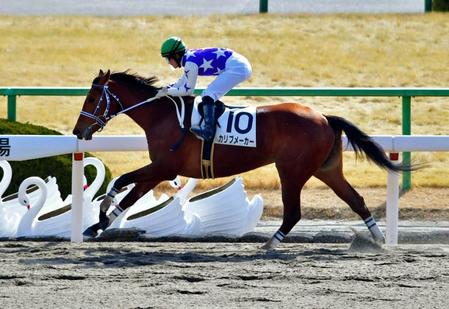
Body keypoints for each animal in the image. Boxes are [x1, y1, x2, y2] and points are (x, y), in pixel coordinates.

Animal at [72, 70, 410, 248]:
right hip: (326, 170)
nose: (78, 130)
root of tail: (325, 117)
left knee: (294, 212)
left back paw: (271, 242)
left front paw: (101, 212)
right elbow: (130, 195)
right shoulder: (159, 169)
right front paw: (97, 225)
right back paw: (379, 240)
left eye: (92, 98)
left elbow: (122, 181)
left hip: (292, 170)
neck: (162, 116)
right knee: (356, 199)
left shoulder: (164, 166)